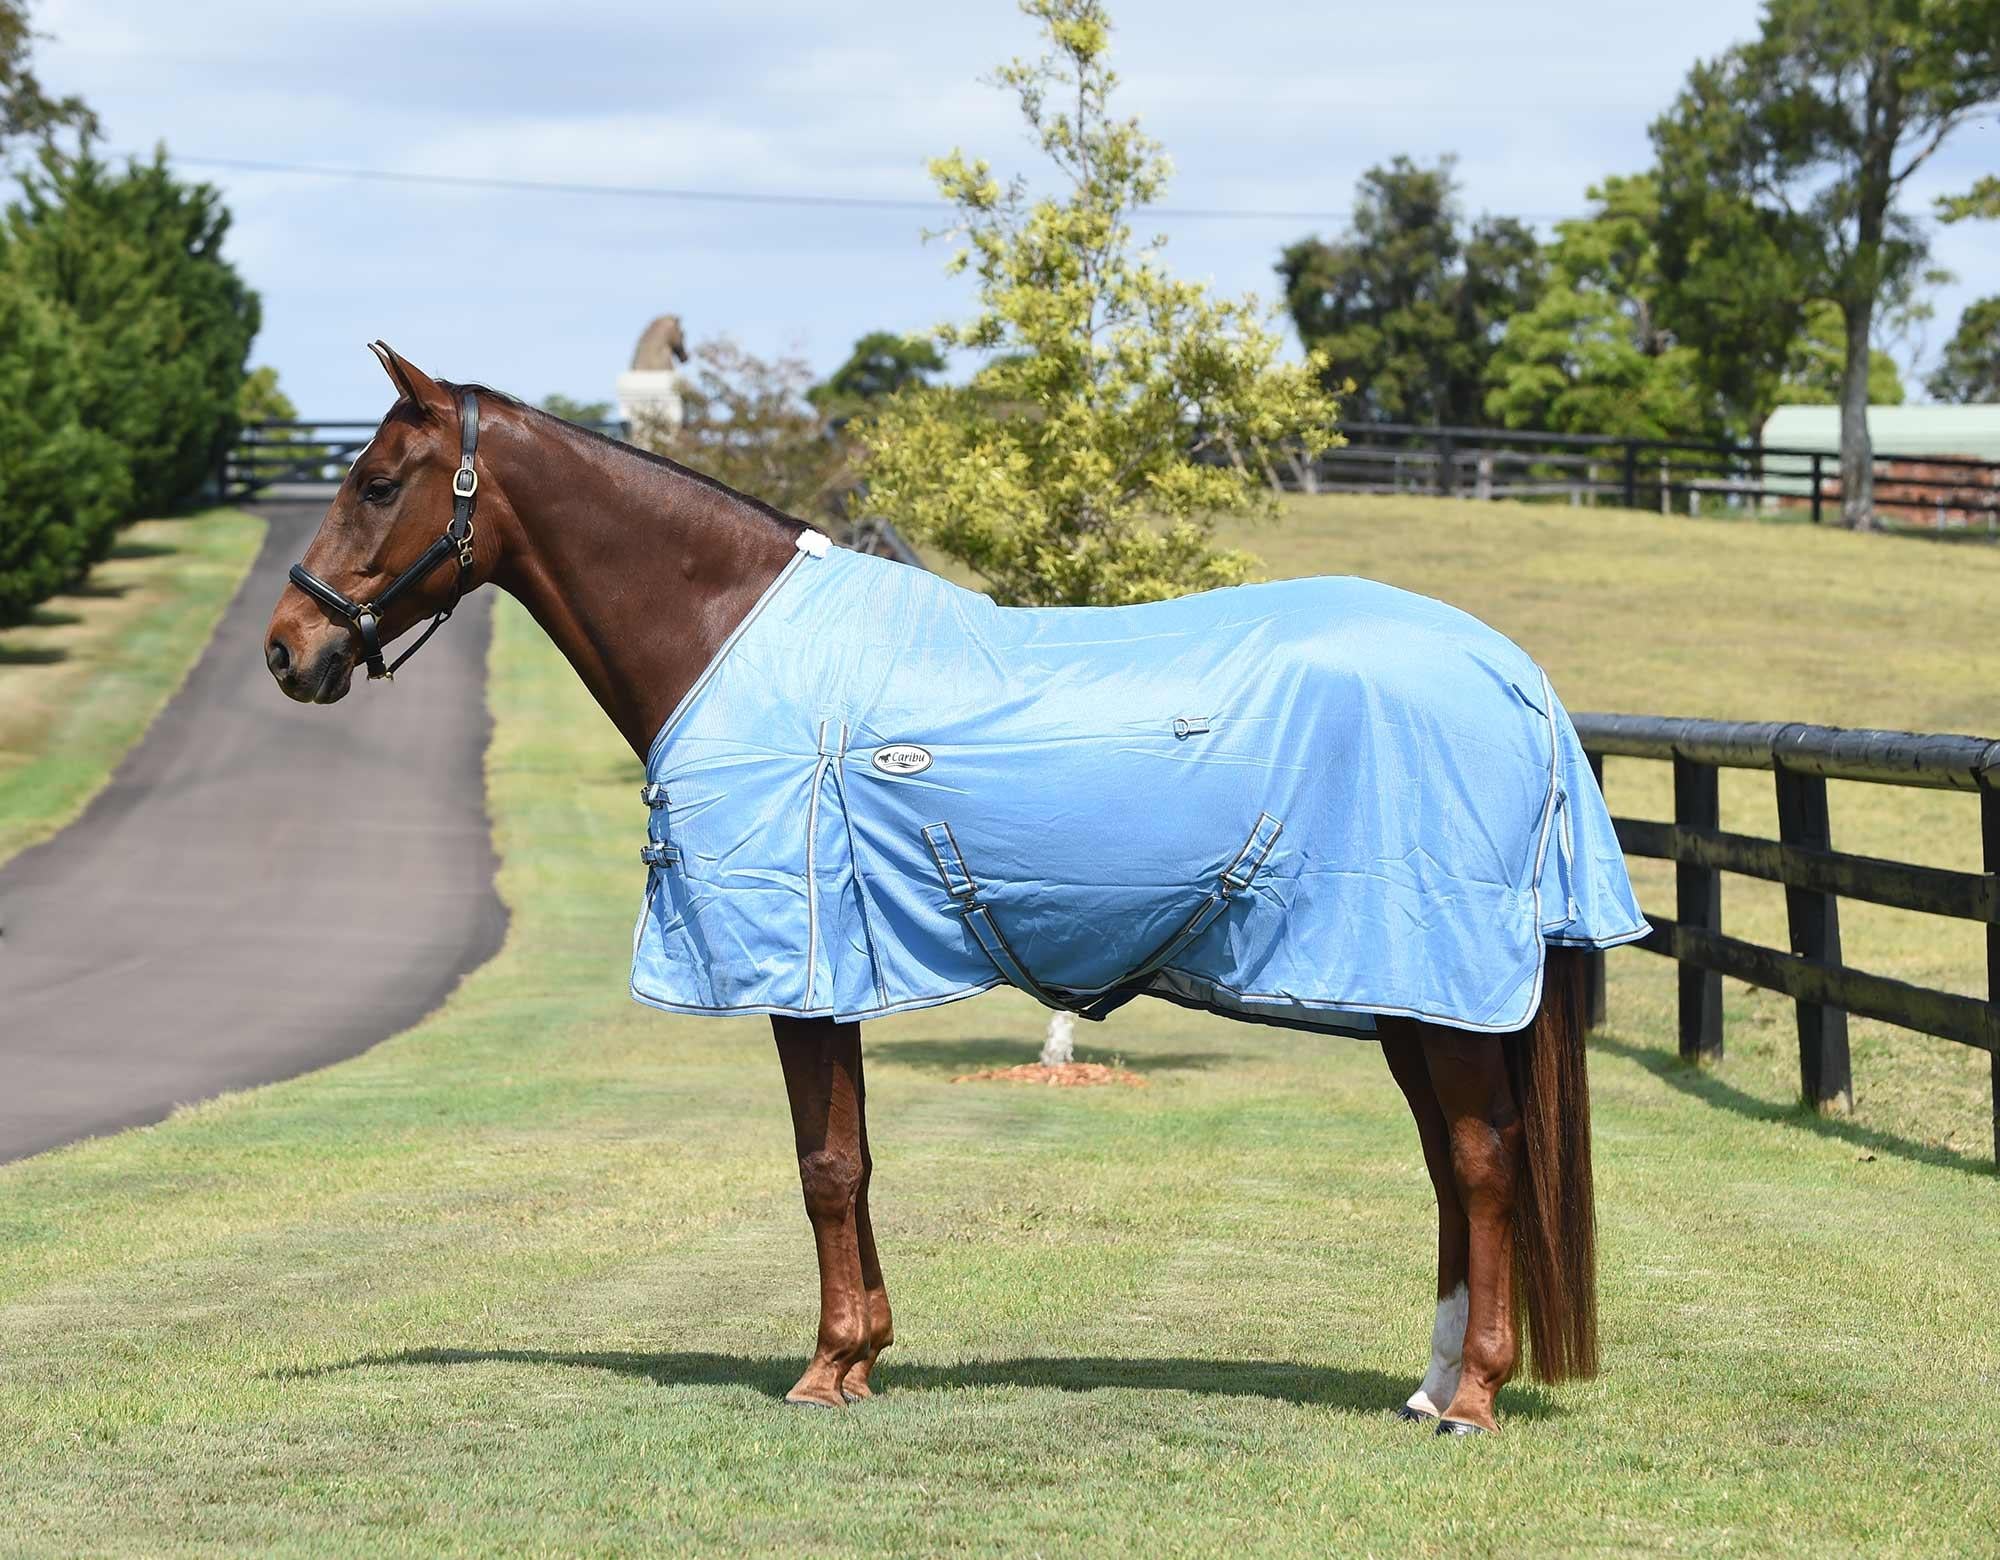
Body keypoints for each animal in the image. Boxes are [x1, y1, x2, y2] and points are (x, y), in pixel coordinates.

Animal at [264, 344, 1645, 1435]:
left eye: (376, 482)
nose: (288, 648)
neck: (734, 640)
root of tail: (1511, 676)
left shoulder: (801, 963)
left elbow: (822, 1165)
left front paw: (824, 1369)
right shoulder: (834, 972)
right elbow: (855, 1158)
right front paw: (862, 1353)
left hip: (1432, 983)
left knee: (1479, 1163)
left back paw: (1470, 1398)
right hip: (1410, 995)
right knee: (1451, 1165)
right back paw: (1427, 1384)